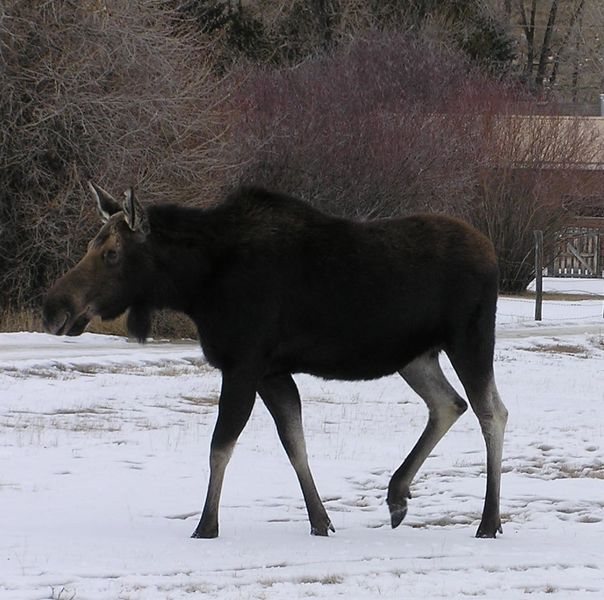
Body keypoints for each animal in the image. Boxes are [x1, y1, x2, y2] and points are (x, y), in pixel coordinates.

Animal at [42, 183, 508, 540]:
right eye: (92, 246)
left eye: (112, 253)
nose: (53, 308)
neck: (196, 287)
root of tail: (492, 252)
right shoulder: (272, 372)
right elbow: (294, 442)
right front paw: (320, 521)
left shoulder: (242, 364)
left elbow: (220, 446)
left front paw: (206, 526)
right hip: (415, 355)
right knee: (448, 403)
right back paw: (397, 495)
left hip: (470, 337)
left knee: (491, 412)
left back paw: (488, 521)